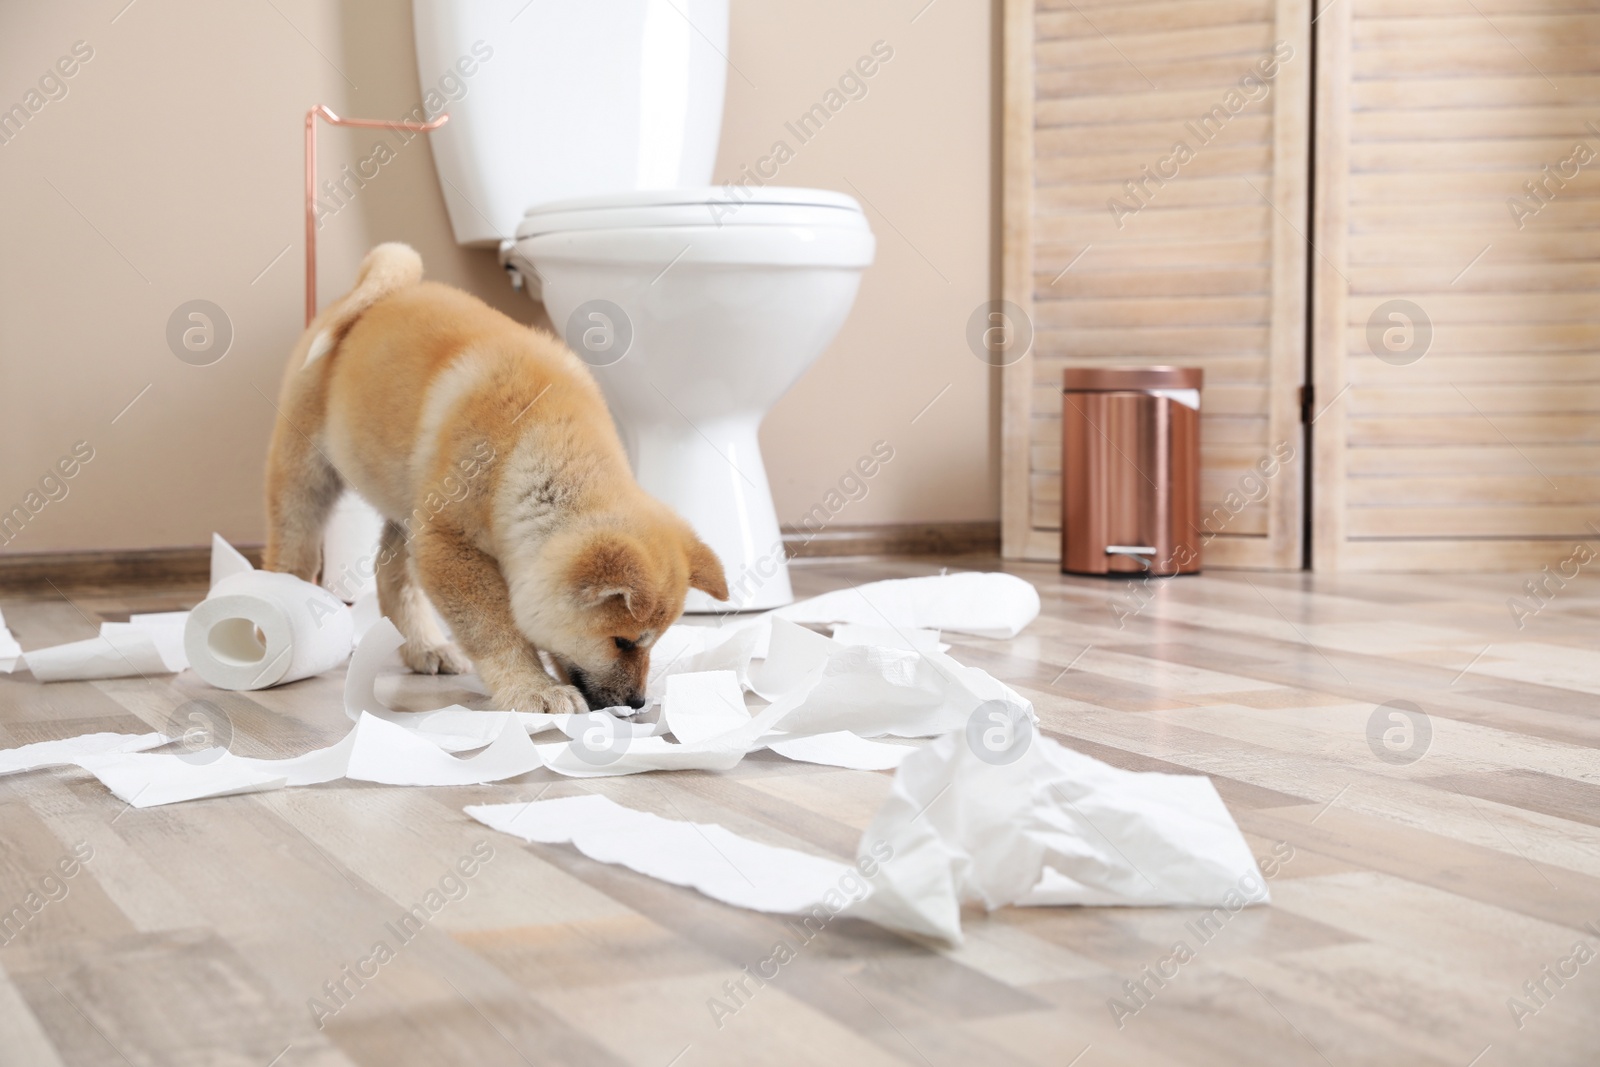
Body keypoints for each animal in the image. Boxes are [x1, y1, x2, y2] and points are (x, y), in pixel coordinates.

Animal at [262, 244, 726, 713]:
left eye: (654, 641)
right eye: (623, 641)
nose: (636, 703)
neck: (529, 444)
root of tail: (360, 296)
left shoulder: (434, 532)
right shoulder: (450, 545)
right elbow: (496, 632)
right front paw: (532, 687)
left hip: (408, 501)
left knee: (390, 577)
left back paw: (425, 647)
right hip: (307, 472)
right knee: (293, 546)